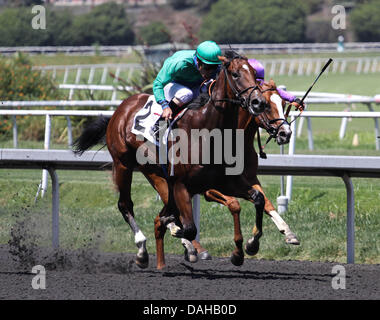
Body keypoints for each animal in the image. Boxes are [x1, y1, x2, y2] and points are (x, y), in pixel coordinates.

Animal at [72, 50, 268, 270]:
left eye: (254, 73)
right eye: (235, 74)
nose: (259, 102)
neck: (206, 130)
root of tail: (121, 108)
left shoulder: (222, 181)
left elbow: (258, 199)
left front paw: (247, 247)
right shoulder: (183, 184)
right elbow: (189, 227)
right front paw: (181, 235)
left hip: (155, 172)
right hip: (123, 164)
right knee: (125, 204)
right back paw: (142, 250)